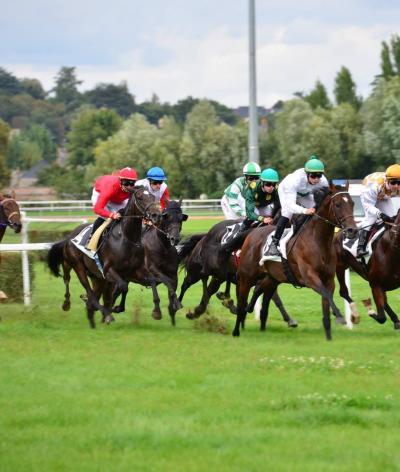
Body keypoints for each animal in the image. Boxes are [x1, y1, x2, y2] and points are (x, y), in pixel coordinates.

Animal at [233, 183, 358, 342]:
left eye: (352, 203)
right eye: (337, 204)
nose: (352, 230)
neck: (318, 240)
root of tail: (251, 234)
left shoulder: (329, 279)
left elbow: (327, 298)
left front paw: (329, 335)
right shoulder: (310, 277)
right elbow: (326, 294)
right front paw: (341, 317)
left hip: (272, 277)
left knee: (260, 288)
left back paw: (250, 310)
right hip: (246, 277)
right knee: (241, 302)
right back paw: (236, 330)